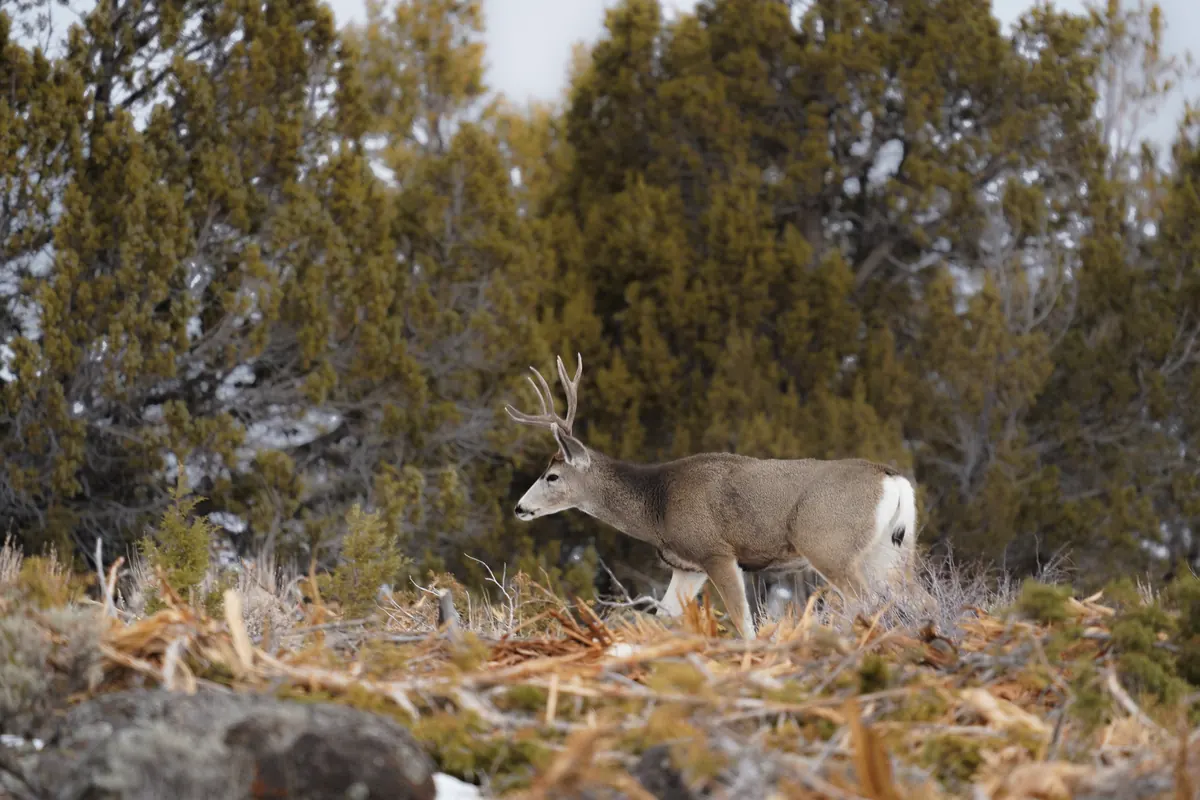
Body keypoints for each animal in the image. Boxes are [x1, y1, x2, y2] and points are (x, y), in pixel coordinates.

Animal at [504, 353, 924, 640]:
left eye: (552, 476)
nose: (520, 508)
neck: (656, 505)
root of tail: (893, 479)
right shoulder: (687, 567)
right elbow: (665, 617)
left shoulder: (716, 551)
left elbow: (743, 622)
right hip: (892, 549)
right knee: (918, 598)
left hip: (829, 543)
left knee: (863, 599)